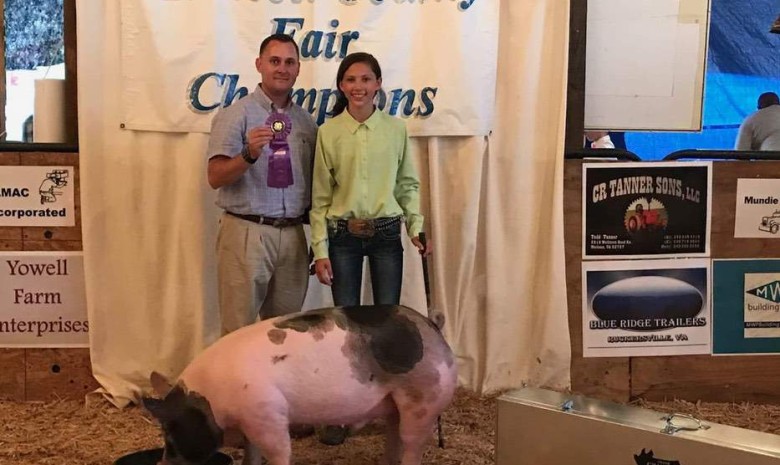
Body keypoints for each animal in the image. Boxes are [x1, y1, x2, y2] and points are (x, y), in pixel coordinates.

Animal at [142, 302, 458, 464]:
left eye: (169, 435)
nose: (161, 463)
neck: (211, 400)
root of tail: (432, 325)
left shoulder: (268, 417)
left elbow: (279, 453)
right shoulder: (252, 422)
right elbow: (251, 456)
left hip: (424, 400)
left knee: (411, 446)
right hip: (394, 406)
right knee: (394, 439)